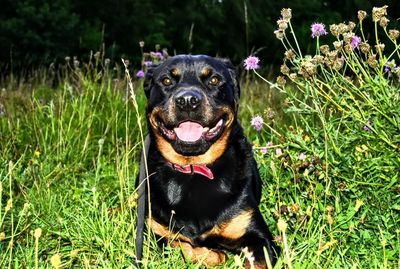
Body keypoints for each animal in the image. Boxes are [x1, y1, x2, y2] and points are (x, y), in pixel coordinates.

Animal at [140, 55, 278, 268]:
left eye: (214, 80)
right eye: (166, 80)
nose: (187, 101)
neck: (193, 167)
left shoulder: (259, 238)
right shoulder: (153, 233)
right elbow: (183, 246)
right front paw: (215, 254)